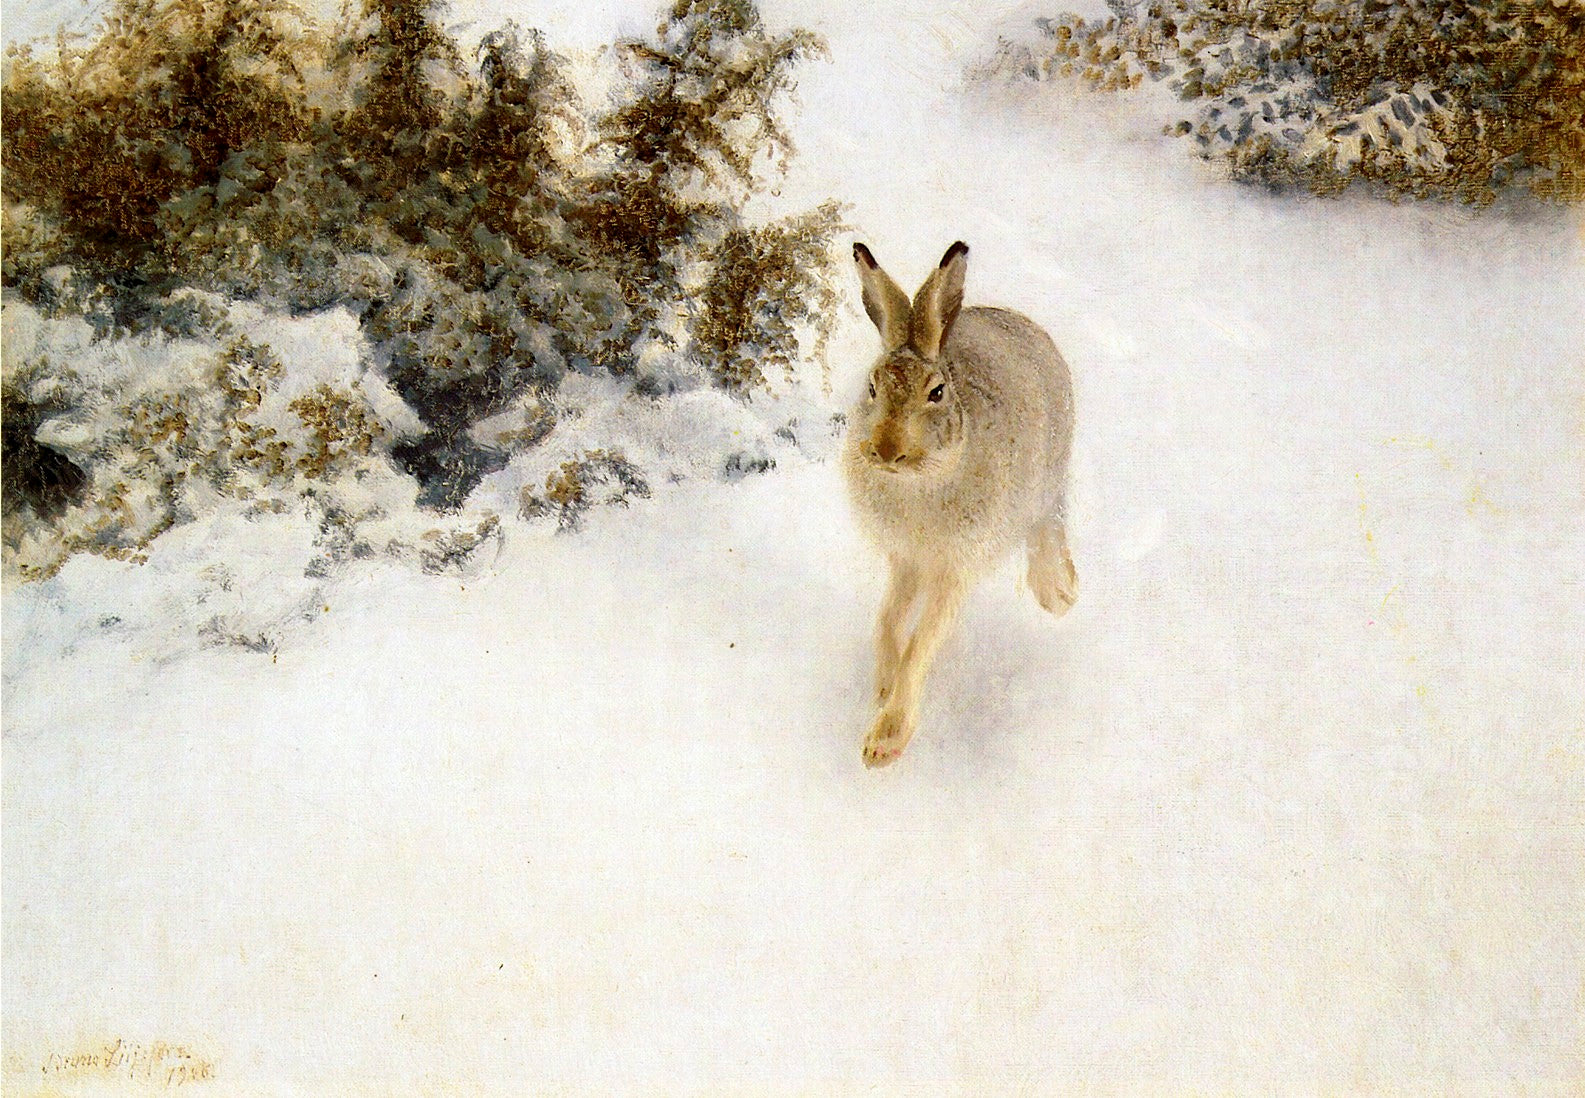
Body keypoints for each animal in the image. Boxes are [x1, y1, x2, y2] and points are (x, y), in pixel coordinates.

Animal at [842, 240, 1076, 768]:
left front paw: (884, 742)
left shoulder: (955, 567)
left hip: (1046, 478)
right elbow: (887, 621)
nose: (885, 450)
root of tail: (1028, 326)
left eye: (937, 392)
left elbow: (922, 641)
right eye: (872, 388)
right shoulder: (907, 559)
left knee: (1046, 523)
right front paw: (882, 689)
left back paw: (1058, 593)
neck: (919, 481)